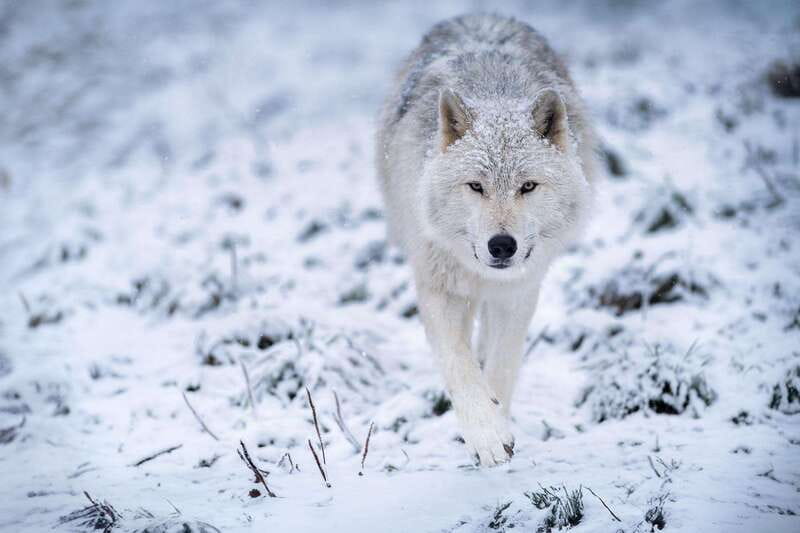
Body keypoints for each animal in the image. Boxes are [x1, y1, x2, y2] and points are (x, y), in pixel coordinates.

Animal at [376, 13, 597, 466]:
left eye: (527, 186)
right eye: (476, 186)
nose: (501, 245)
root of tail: (480, 15)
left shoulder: (518, 292)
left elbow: (501, 365)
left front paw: (499, 423)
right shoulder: (438, 288)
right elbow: (458, 365)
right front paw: (486, 433)